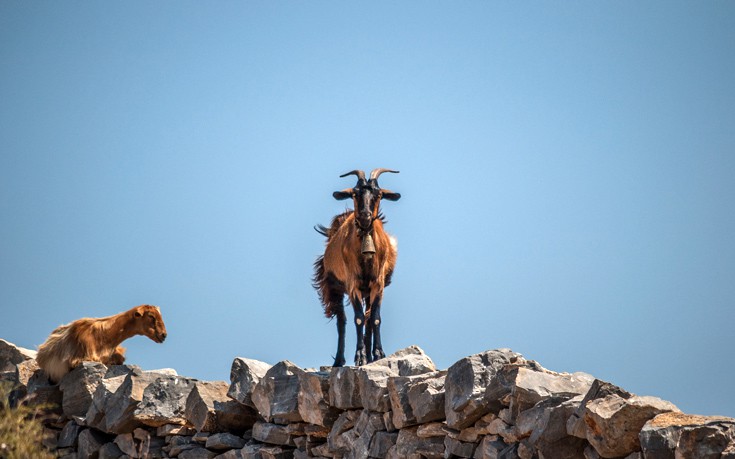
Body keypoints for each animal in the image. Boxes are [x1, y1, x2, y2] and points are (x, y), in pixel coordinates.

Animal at [312, 168, 402, 366]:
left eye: (378, 194)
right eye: (354, 193)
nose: (365, 216)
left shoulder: (378, 285)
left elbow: (374, 319)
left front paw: (377, 354)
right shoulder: (353, 284)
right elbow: (359, 318)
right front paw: (360, 356)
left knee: (368, 318)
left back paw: (369, 356)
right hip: (334, 288)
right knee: (342, 321)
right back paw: (339, 360)